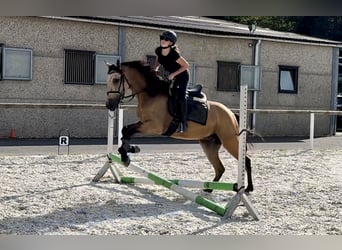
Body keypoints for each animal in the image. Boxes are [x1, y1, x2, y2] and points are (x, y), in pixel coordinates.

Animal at [107, 61, 254, 193]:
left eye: (116, 79)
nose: (109, 105)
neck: (151, 94)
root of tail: (230, 113)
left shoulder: (154, 126)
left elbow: (129, 131)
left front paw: (127, 154)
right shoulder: (144, 123)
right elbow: (126, 130)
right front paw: (128, 151)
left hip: (230, 141)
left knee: (246, 160)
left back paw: (247, 188)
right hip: (208, 144)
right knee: (220, 168)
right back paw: (209, 189)